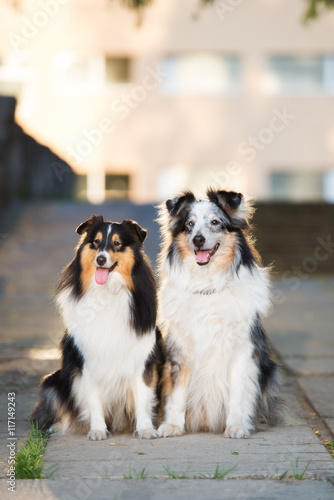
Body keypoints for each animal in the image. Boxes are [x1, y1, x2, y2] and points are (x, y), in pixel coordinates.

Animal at [158, 189, 280, 440]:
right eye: (190, 224)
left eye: (215, 222)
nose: (198, 239)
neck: (208, 284)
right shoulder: (180, 350)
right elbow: (177, 393)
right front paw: (173, 425)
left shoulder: (241, 351)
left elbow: (237, 393)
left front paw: (236, 426)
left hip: (270, 370)